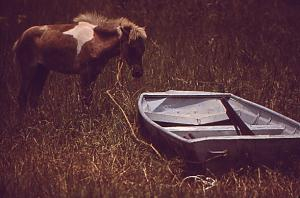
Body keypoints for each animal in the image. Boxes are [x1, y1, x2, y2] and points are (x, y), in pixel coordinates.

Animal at [12, 12, 146, 112]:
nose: (138, 72)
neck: (97, 41)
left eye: (143, 49)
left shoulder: (94, 73)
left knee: (33, 97)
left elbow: (88, 99)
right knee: (22, 96)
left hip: (42, 70)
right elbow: (84, 98)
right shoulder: (85, 73)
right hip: (29, 69)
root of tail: (19, 39)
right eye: (131, 46)